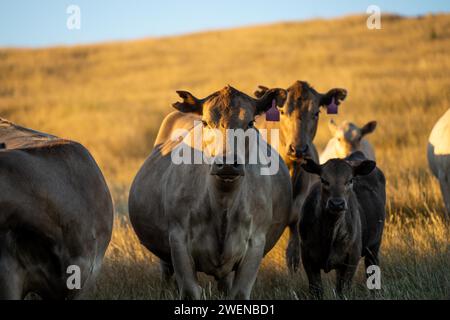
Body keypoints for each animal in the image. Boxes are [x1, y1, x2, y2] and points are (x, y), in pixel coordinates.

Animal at [128, 85, 294, 300]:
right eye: (206, 122)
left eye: (250, 122)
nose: (228, 163)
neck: (223, 202)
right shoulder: (178, 239)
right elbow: (190, 291)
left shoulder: (256, 242)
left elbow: (239, 293)